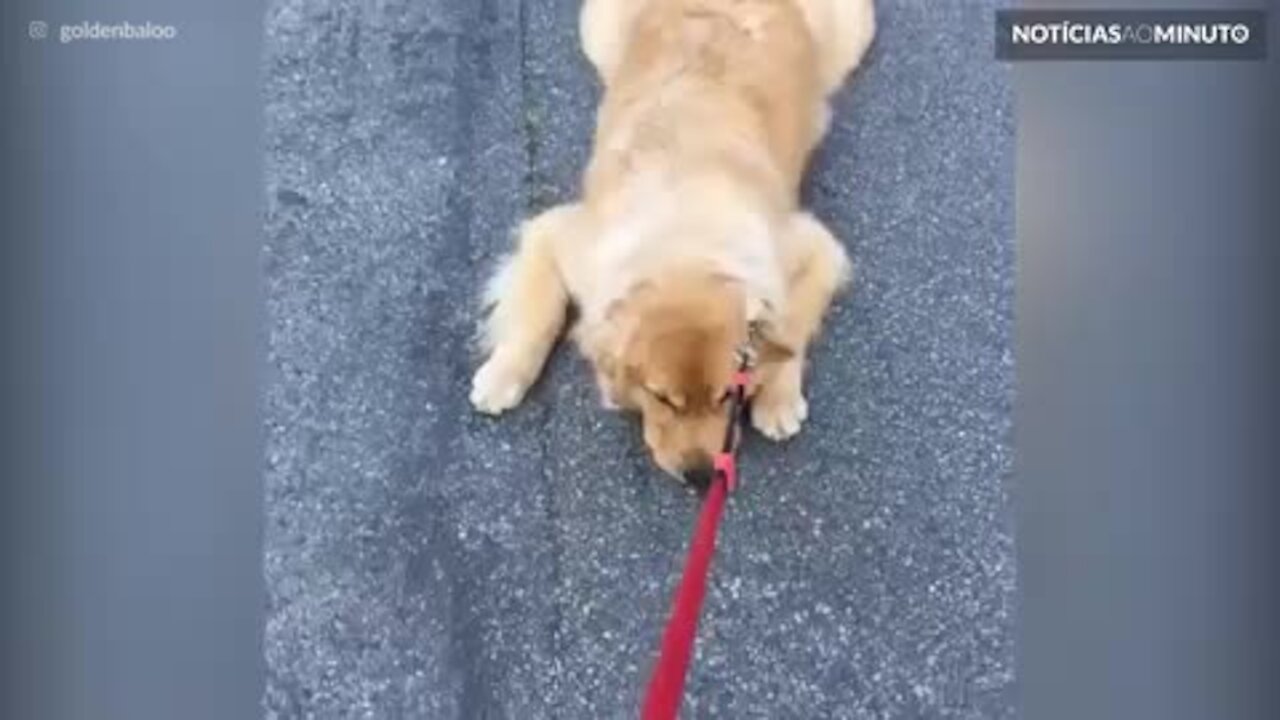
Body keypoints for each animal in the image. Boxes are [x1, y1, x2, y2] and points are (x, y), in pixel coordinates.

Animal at [473, 0, 880, 481]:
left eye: (727, 395)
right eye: (662, 398)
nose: (702, 476)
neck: (684, 249)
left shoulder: (812, 247)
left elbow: (792, 325)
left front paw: (778, 398)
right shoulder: (559, 236)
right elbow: (539, 314)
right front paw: (503, 374)